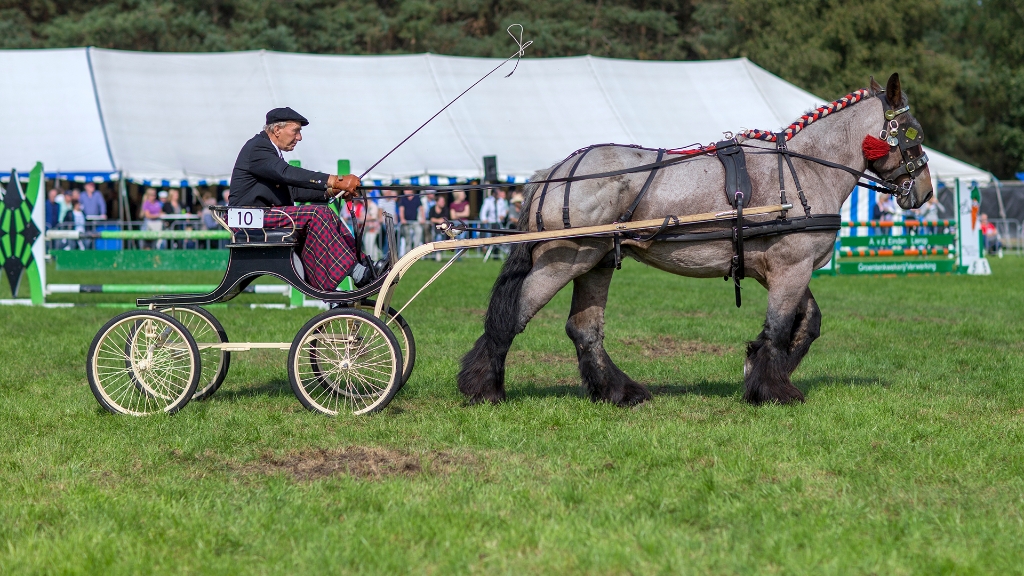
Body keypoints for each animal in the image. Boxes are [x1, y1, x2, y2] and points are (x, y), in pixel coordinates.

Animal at [460, 72, 933, 403]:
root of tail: (554, 171)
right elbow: (780, 328)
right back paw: (484, 388)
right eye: (914, 132)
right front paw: (773, 388)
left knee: (584, 329)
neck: (804, 169)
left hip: (596, 263)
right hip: (565, 260)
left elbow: (807, 323)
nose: (926, 192)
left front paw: (756, 368)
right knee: (513, 317)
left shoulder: (782, 270)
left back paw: (619, 392)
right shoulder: (791, 268)